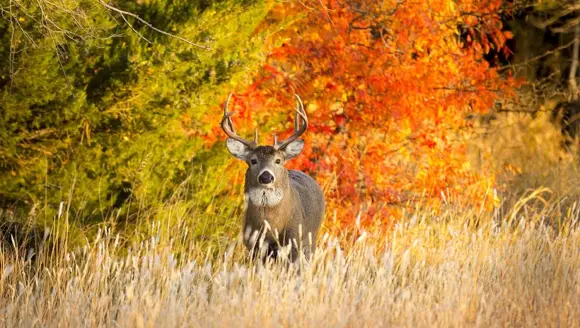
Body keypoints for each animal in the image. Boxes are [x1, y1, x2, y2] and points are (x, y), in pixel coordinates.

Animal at [221, 93, 324, 262]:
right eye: (253, 160)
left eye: (278, 160)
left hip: (311, 238)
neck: (270, 226)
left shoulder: (293, 241)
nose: (266, 176)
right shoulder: (253, 245)